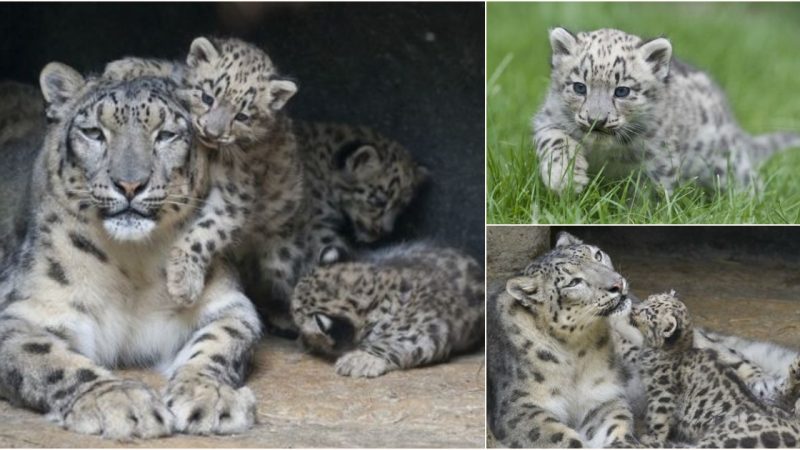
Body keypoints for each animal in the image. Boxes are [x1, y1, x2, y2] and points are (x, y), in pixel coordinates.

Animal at [0, 62, 260, 436]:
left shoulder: (225, 303)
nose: (130, 184)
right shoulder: (28, 310)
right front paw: (119, 402)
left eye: (166, 135)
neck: (134, 267)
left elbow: (222, 341)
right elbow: (50, 357)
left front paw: (209, 396)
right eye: (93, 132)